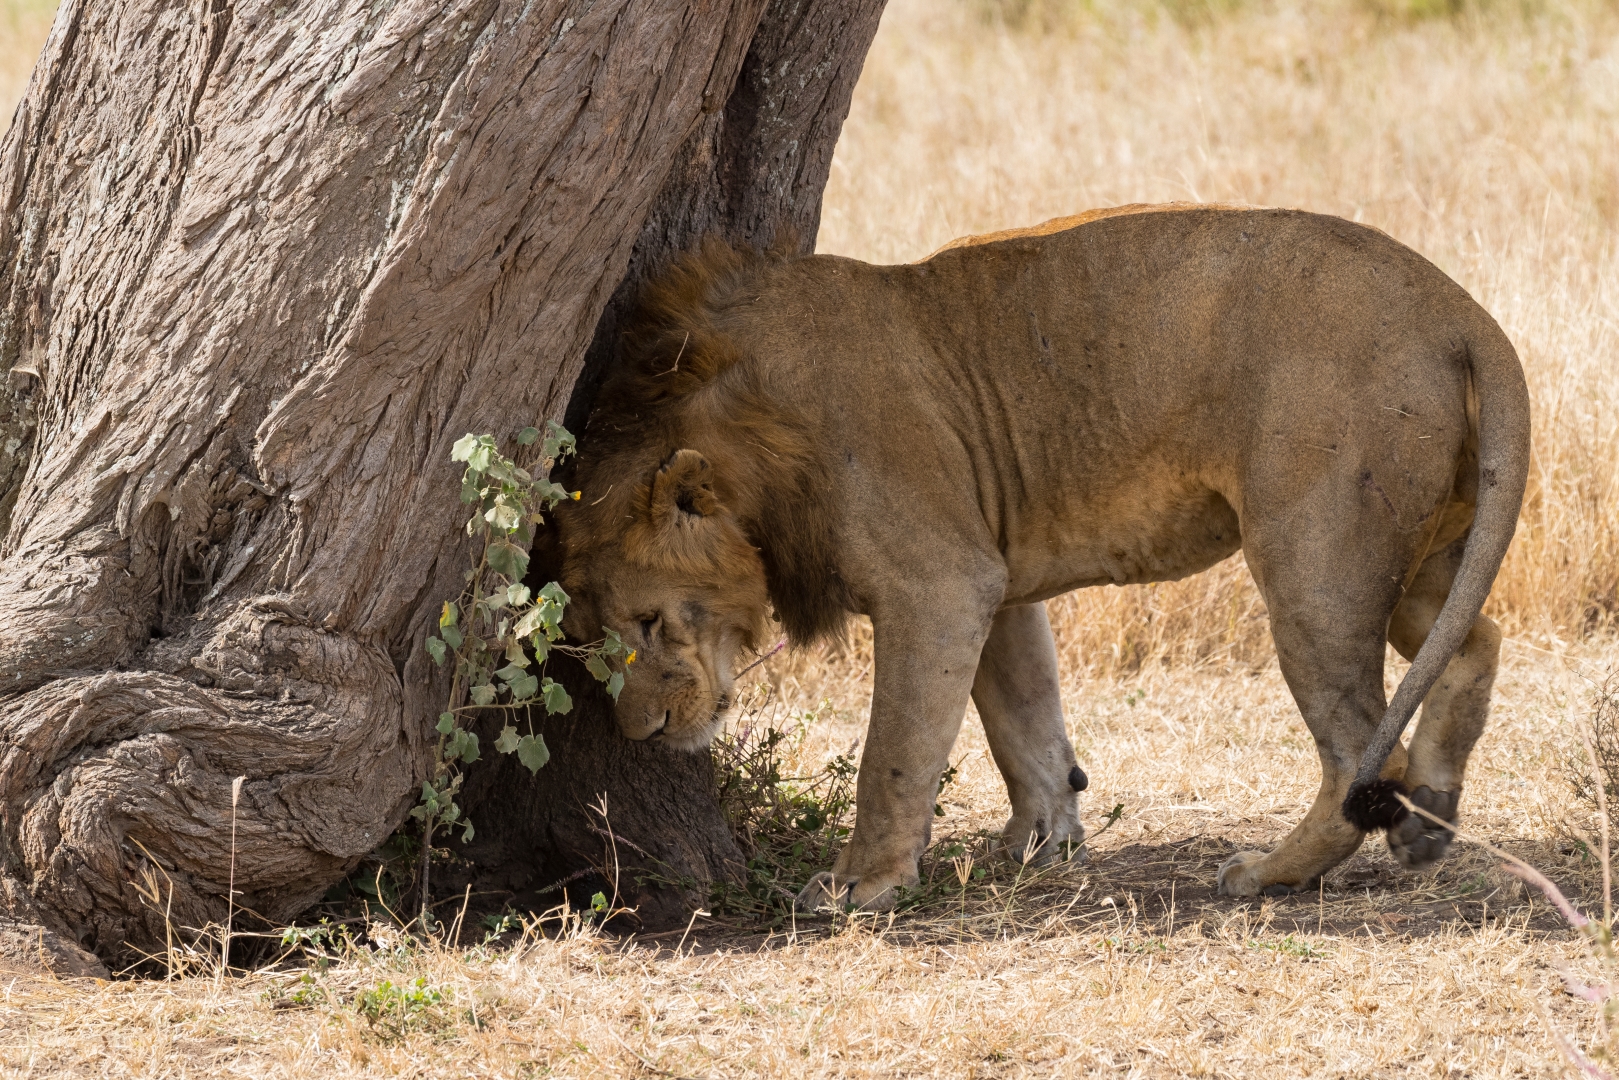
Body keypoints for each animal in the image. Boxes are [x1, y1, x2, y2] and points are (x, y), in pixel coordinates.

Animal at [550, 204, 1521, 913]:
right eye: (594, 638)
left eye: (650, 621)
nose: (643, 733)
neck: (745, 434)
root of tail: (1460, 310)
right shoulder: (996, 578)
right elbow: (1020, 718)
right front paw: (1043, 839)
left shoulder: (938, 581)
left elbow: (892, 752)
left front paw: (861, 885)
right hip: (1417, 554)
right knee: (1473, 644)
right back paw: (1428, 822)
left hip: (1312, 566)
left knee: (1354, 748)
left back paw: (1271, 872)